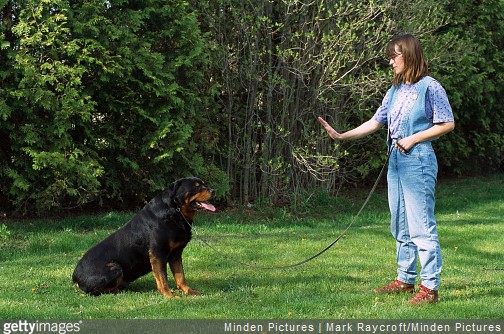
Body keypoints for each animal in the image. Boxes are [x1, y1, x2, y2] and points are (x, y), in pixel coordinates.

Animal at [72, 177, 215, 298]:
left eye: (204, 184)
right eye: (197, 187)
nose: (214, 190)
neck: (176, 211)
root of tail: (75, 277)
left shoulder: (176, 253)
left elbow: (181, 277)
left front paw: (189, 291)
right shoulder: (158, 253)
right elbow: (162, 279)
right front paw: (169, 296)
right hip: (114, 268)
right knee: (93, 292)